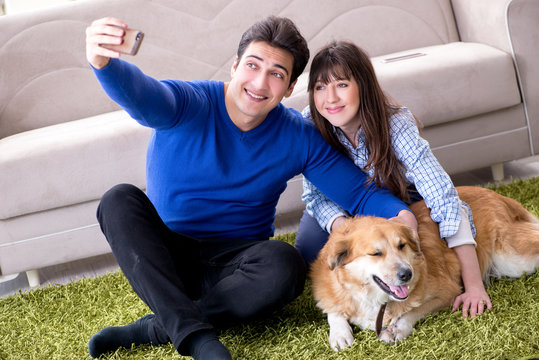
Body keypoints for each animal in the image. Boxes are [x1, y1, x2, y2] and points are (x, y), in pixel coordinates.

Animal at [312, 186, 539, 348]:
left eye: (401, 245)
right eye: (375, 253)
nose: (407, 275)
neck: (373, 297)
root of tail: (497, 195)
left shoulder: (447, 291)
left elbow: (413, 311)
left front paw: (398, 329)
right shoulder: (329, 290)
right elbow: (333, 309)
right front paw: (340, 333)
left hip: (512, 259)